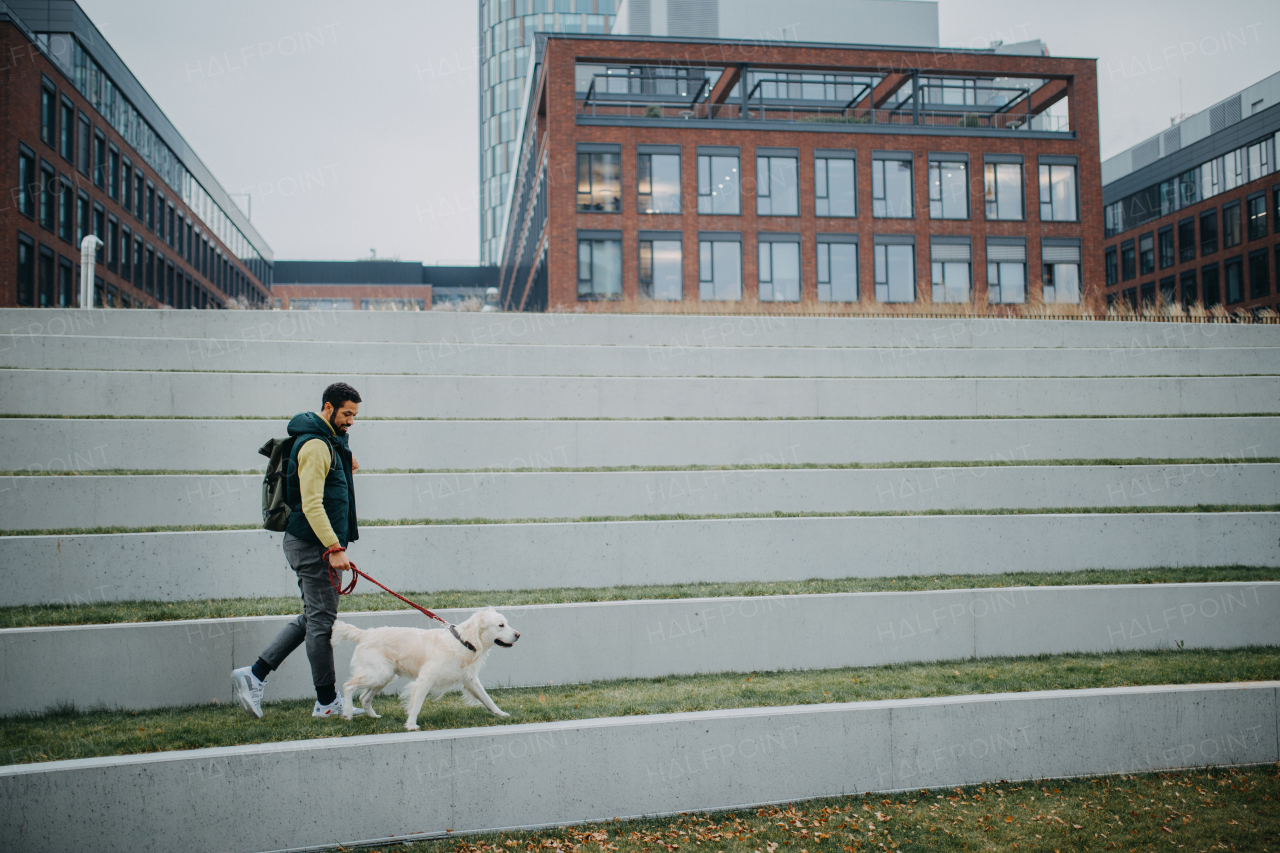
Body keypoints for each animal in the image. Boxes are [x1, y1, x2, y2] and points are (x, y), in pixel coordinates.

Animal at [330, 604, 519, 732]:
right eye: (501, 625)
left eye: (506, 623)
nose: (518, 635)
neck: (462, 642)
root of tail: (364, 634)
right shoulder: (425, 679)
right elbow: (417, 704)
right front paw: (411, 725)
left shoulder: (470, 680)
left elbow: (488, 699)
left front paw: (501, 714)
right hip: (378, 674)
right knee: (348, 686)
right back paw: (347, 712)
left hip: (384, 676)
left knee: (364, 697)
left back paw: (373, 716)